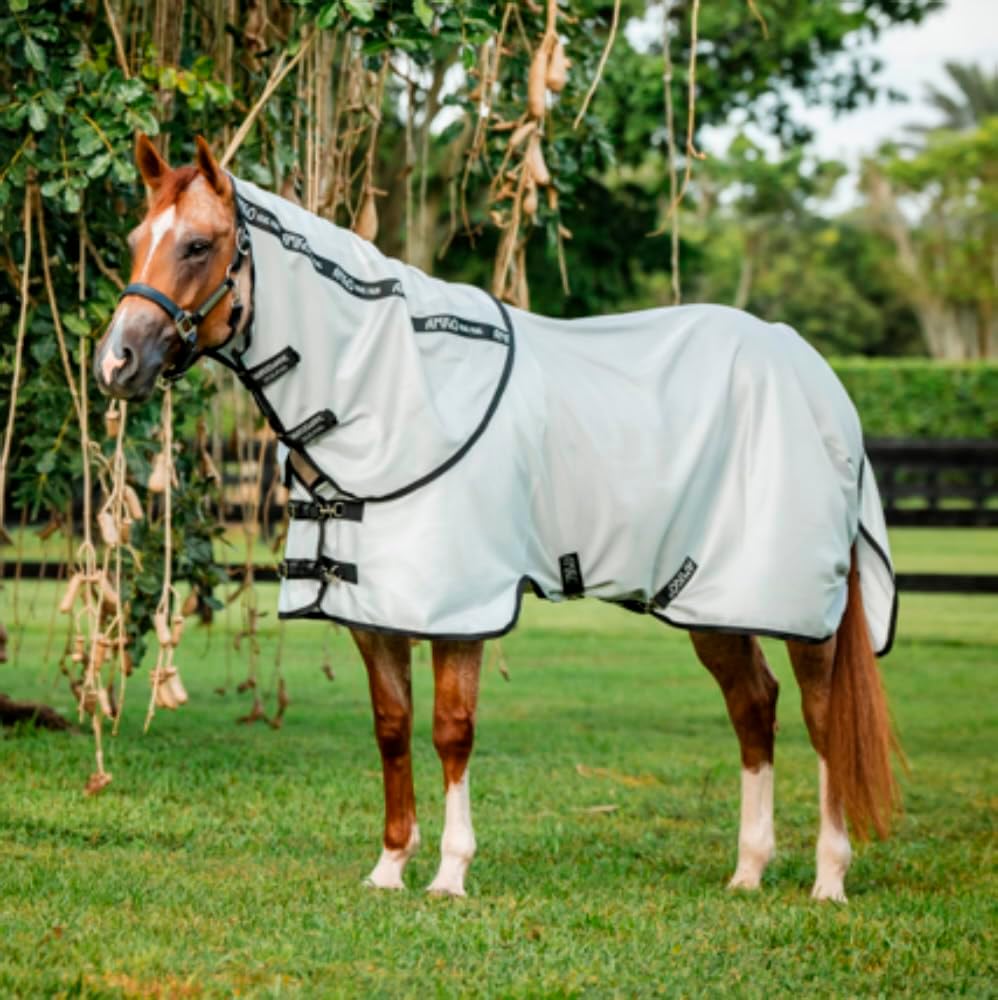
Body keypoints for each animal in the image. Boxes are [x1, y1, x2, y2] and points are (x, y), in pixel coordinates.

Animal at [93, 134, 900, 902]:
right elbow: (392, 729)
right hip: (711, 599)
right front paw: (390, 867)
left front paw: (450, 873)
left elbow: (453, 731)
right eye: (134, 239)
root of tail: (815, 374)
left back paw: (829, 879)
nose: (116, 362)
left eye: (198, 244)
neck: (391, 393)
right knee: (753, 706)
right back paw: (749, 871)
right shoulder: (373, 611)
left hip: (800, 607)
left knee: (823, 718)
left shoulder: (460, 609)